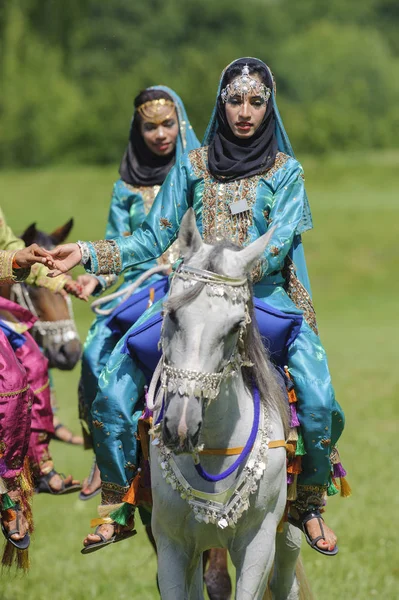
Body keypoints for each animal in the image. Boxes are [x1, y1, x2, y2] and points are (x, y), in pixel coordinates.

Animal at [150, 209, 306, 596]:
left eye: (235, 326)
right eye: (171, 314)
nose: (181, 426)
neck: (215, 450)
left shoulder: (258, 543)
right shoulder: (172, 546)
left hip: (288, 536)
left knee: (286, 584)